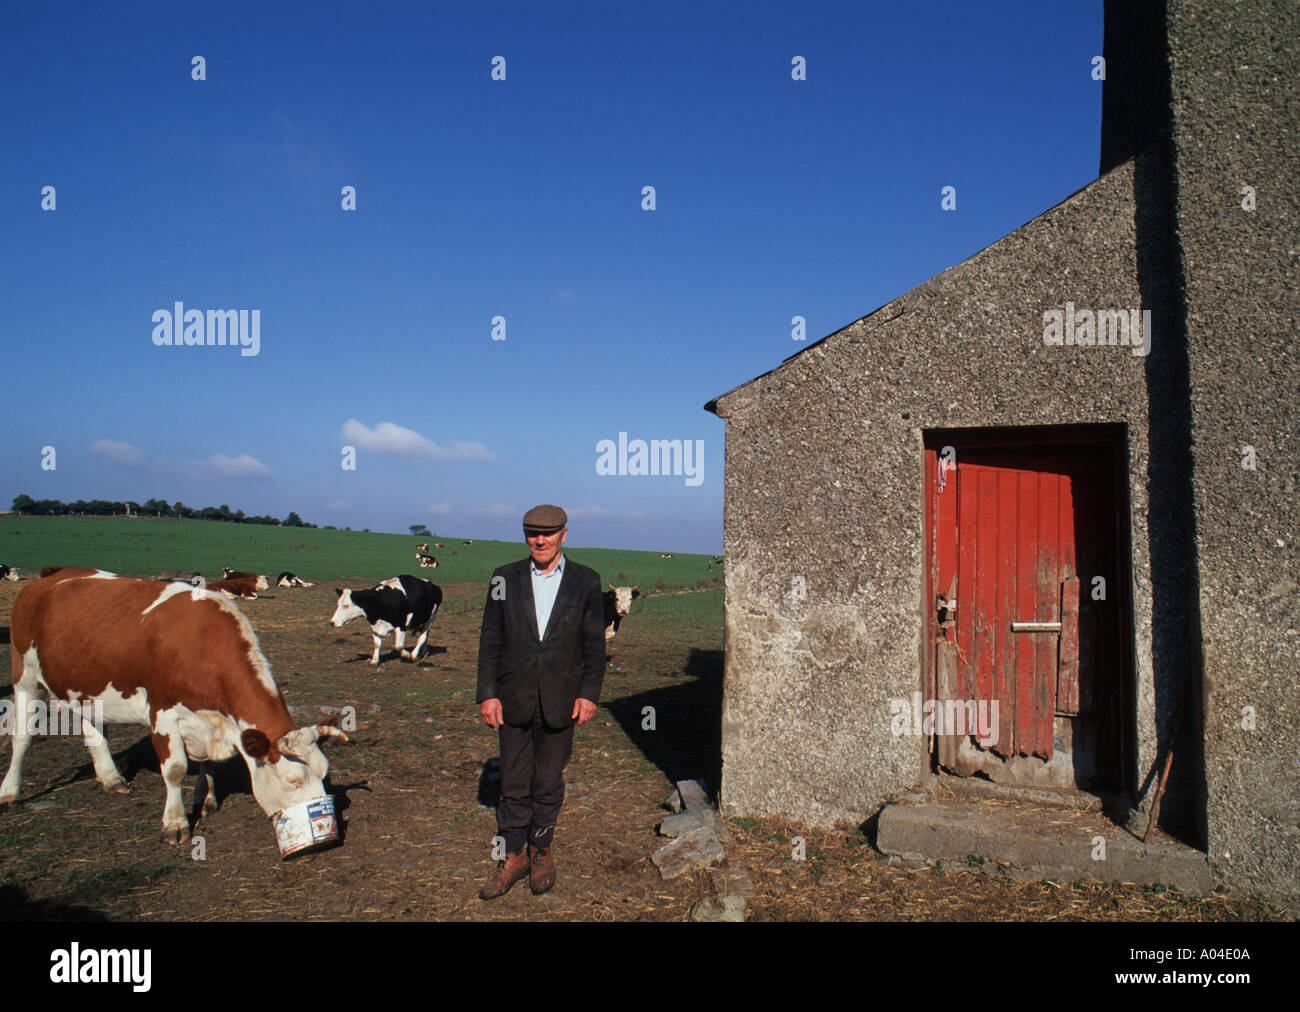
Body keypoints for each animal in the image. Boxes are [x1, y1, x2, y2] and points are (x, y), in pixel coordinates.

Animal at [0, 567, 348, 842]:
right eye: (293, 780)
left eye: (325, 773)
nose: (326, 827)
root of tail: (48, 578)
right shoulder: (162, 713)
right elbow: (175, 769)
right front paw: (175, 822)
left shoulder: (213, 722)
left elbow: (210, 763)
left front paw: (206, 799)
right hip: (25, 674)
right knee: (22, 736)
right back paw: (10, 791)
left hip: (86, 684)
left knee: (93, 730)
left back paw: (111, 779)